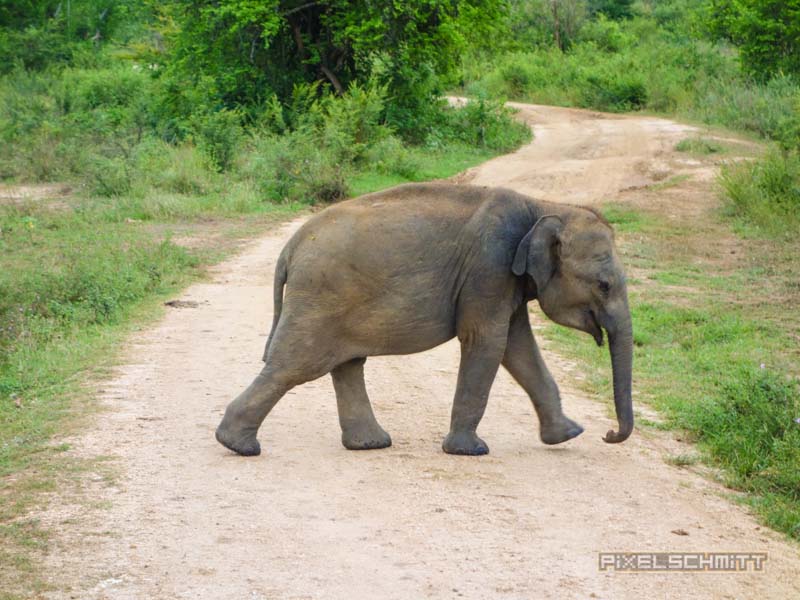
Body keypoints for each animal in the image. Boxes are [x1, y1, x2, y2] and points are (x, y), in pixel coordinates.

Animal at [216, 182, 636, 454]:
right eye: (603, 285)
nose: (608, 435)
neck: (544, 206)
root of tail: (289, 248)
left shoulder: (506, 279)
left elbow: (518, 347)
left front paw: (568, 436)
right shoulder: (489, 268)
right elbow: (487, 341)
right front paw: (470, 451)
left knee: (346, 364)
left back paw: (370, 444)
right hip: (320, 295)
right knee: (295, 365)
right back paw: (238, 445)